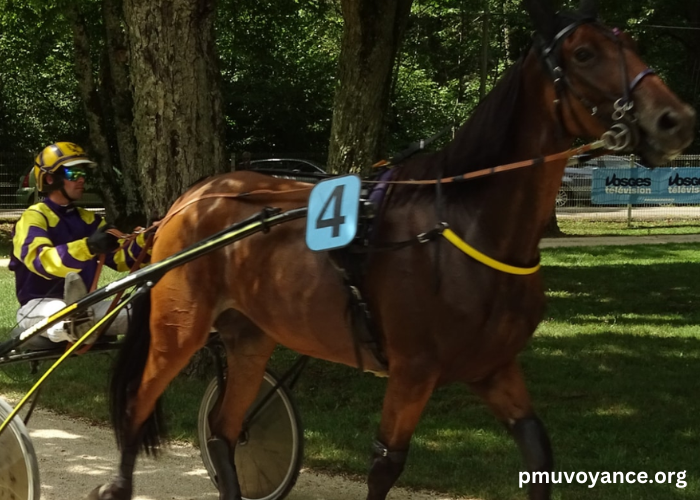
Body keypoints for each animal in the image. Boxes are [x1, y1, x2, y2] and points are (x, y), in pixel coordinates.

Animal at [89, 0, 696, 500]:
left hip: (250, 337)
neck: (469, 226)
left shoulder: (494, 367)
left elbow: (538, 452)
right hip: (180, 325)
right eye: (585, 52)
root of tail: (188, 200)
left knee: (223, 432)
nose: (676, 119)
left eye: (631, 42)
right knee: (139, 404)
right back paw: (115, 483)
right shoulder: (412, 371)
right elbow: (386, 465)